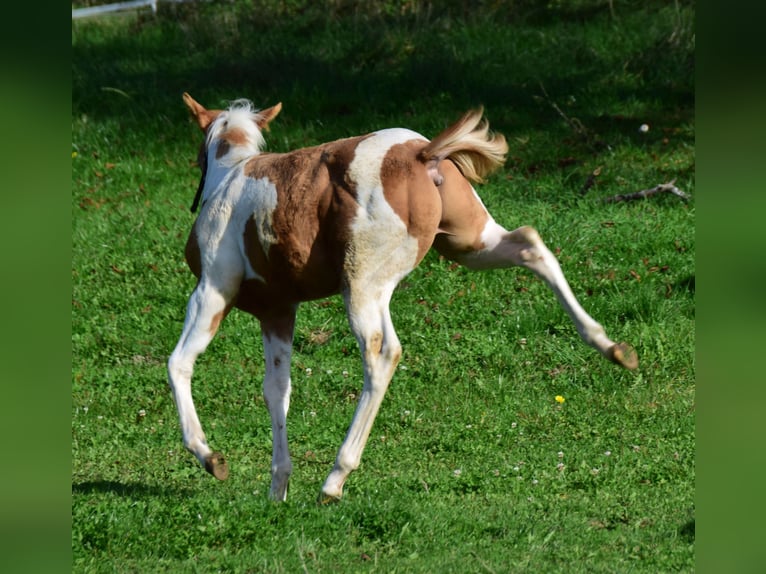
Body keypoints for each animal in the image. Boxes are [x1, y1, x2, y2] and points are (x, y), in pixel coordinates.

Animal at [171, 94, 640, 504]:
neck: (230, 178)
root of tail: (421, 153)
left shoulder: (212, 291)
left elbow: (180, 363)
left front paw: (210, 458)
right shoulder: (278, 312)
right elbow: (277, 390)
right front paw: (277, 491)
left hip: (363, 284)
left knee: (382, 352)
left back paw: (335, 479)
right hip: (469, 244)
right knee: (531, 245)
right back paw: (612, 347)